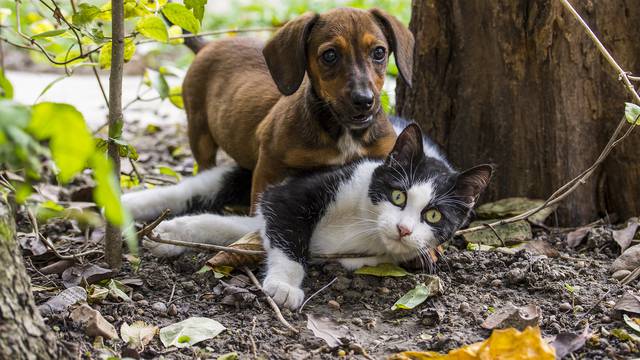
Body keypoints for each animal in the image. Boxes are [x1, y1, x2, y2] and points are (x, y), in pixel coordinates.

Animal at [122, 119, 492, 310]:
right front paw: (284, 286)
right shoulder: (297, 191)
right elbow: (287, 234)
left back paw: (165, 233)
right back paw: (126, 206)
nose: (403, 229)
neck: (365, 224)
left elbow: (247, 228)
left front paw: (175, 233)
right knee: (193, 188)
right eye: (398, 195)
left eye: (434, 217)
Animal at [180, 7, 416, 210]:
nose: (364, 101)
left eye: (379, 52)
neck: (344, 132)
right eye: (330, 55)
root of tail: (206, 46)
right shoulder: (269, 165)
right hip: (199, 133)